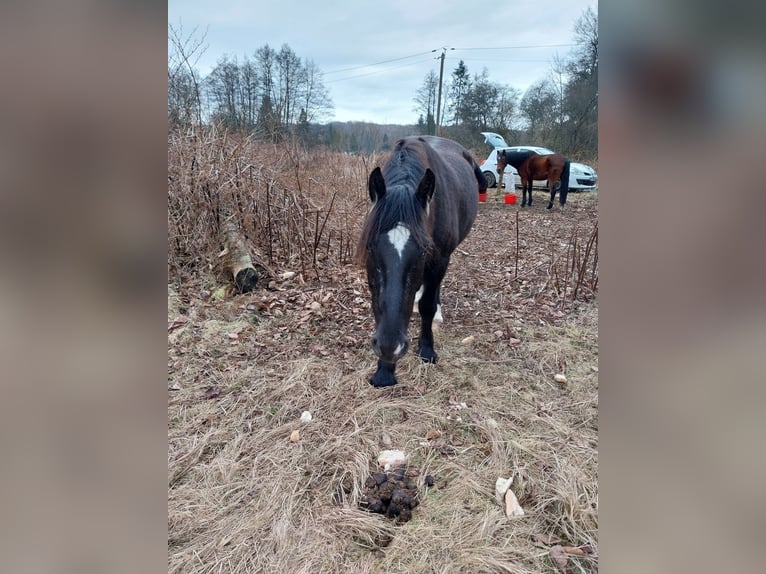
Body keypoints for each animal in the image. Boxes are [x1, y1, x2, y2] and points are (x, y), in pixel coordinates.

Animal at [356, 137, 486, 390]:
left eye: (424, 250)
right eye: (370, 248)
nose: (389, 346)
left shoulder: (439, 259)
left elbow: (427, 305)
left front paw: (426, 349)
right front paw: (384, 369)